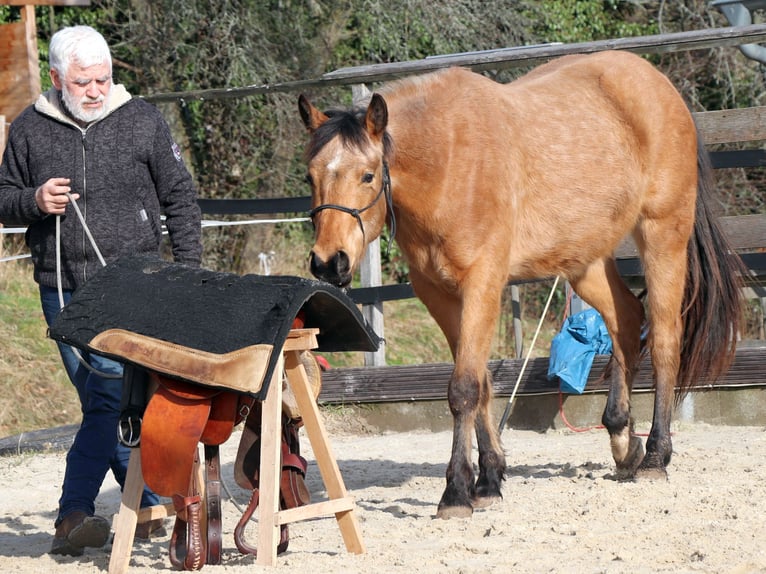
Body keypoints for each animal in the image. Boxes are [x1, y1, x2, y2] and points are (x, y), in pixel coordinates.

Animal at [297, 50, 744, 519]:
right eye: (311, 177)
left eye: (367, 175)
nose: (329, 262)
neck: (449, 160)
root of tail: (659, 85)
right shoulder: (438, 295)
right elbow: (481, 384)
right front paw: (489, 480)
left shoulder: (482, 284)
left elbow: (463, 388)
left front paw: (456, 492)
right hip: (585, 262)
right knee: (625, 321)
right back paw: (624, 443)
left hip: (662, 236)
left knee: (663, 339)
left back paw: (656, 456)